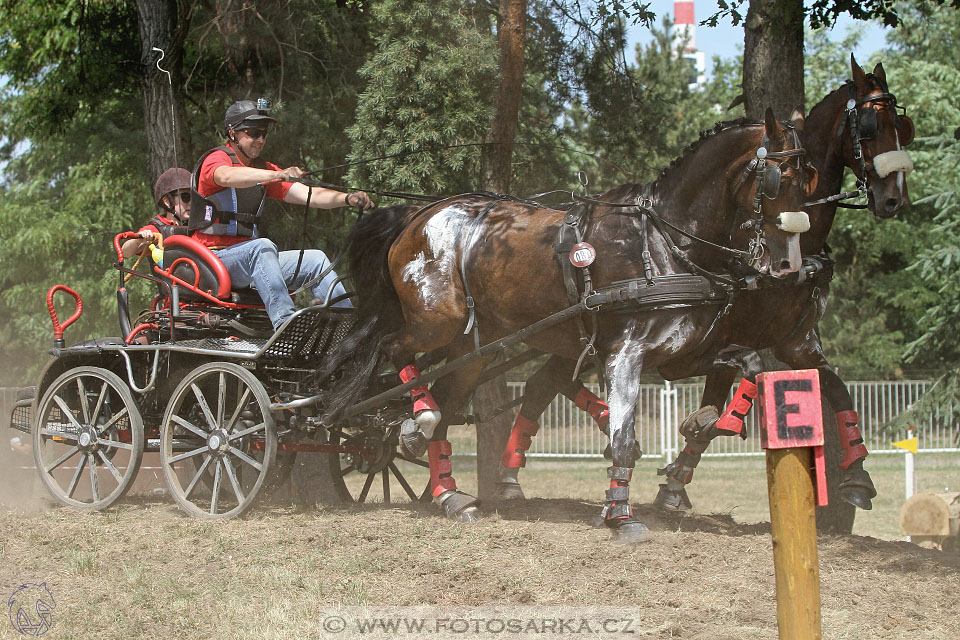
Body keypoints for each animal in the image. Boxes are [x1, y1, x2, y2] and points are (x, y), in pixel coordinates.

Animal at [322, 109, 816, 540]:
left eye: (808, 179)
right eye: (780, 179)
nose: (788, 264)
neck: (660, 243)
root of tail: (416, 216)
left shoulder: (682, 354)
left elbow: (749, 362)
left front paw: (713, 421)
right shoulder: (625, 353)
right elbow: (623, 438)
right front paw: (621, 515)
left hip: (469, 350)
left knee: (446, 409)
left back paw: (449, 495)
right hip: (436, 323)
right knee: (395, 350)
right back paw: (417, 421)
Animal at [496, 52, 916, 516]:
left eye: (903, 126)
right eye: (870, 126)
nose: (894, 198)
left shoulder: (796, 342)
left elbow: (838, 390)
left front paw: (858, 475)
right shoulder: (735, 336)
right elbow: (730, 396)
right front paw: (682, 465)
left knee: (545, 383)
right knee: (544, 385)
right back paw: (518, 473)